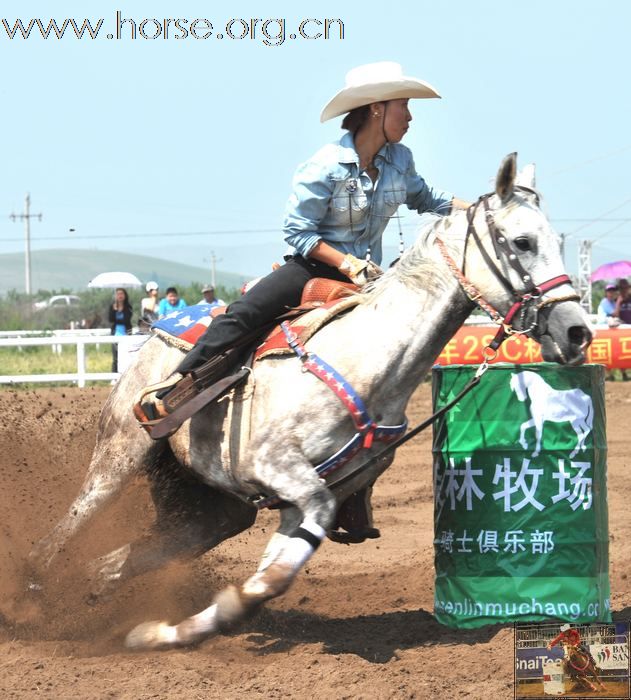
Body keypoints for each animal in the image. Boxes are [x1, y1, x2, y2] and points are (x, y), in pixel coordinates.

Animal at [28, 154, 592, 652]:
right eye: (522, 241)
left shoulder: (310, 498)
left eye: (558, 240)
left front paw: (179, 630)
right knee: (59, 537)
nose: (578, 331)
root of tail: (156, 336)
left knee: (112, 564)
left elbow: (276, 573)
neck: (371, 358)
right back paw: (32, 607)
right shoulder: (278, 466)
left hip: (213, 511)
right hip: (119, 455)